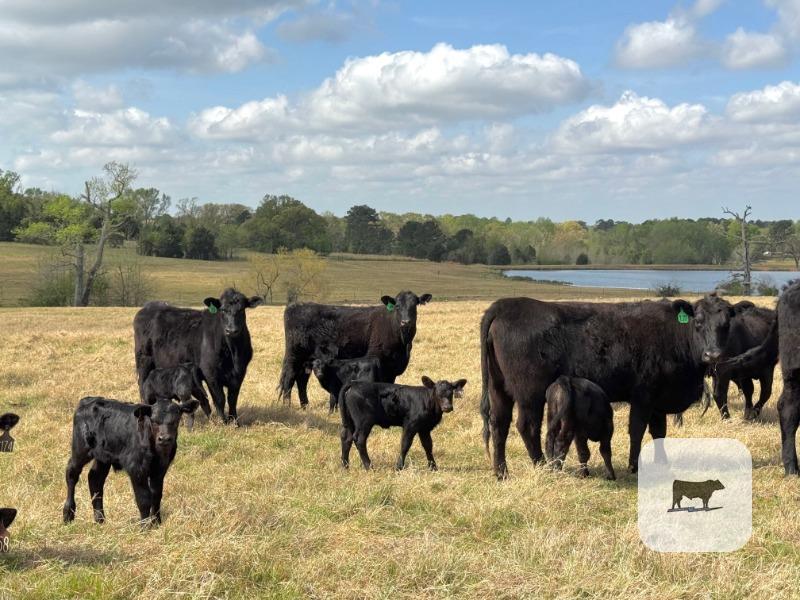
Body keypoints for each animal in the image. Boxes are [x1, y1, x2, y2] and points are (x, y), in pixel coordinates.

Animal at [63, 396, 198, 526]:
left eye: (176, 420)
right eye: (154, 421)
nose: (164, 439)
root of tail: (87, 400)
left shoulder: (160, 469)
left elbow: (156, 495)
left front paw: (157, 522)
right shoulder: (136, 469)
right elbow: (144, 499)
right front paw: (145, 527)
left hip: (103, 457)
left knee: (95, 479)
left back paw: (100, 519)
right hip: (80, 449)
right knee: (72, 473)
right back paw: (68, 514)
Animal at [134, 289, 263, 424]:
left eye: (242, 309)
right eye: (222, 310)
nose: (231, 330)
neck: (233, 354)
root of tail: (148, 307)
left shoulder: (239, 373)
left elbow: (232, 399)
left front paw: (234, 421)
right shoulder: (210, 373)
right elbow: (220, 398)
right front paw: (223, 422)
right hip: (144, 361)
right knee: (143, 386)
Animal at [278, 291, 431, 408]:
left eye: (415, 305)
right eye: (397, 306)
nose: (406, 322)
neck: (403, 344)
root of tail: (295, 305)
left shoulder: (392, 369)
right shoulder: (379, 360)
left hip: (307, 360)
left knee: (301, 380)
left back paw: (305, 406)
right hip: (294, 357)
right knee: (289, 379)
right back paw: (287, 406)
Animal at [480, 294, 737, 480]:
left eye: (726, 325)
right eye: (699, 322)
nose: (713, 355)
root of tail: (504, 305)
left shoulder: (658, 399)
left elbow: (658, 432)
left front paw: (661, 462)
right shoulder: (643, 395)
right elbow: (637, 430)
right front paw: (634, 467)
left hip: (499, 389)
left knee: (499, 425)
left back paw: (501, 472)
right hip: (529, 394)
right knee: (527, 427)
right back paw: (541, 465)